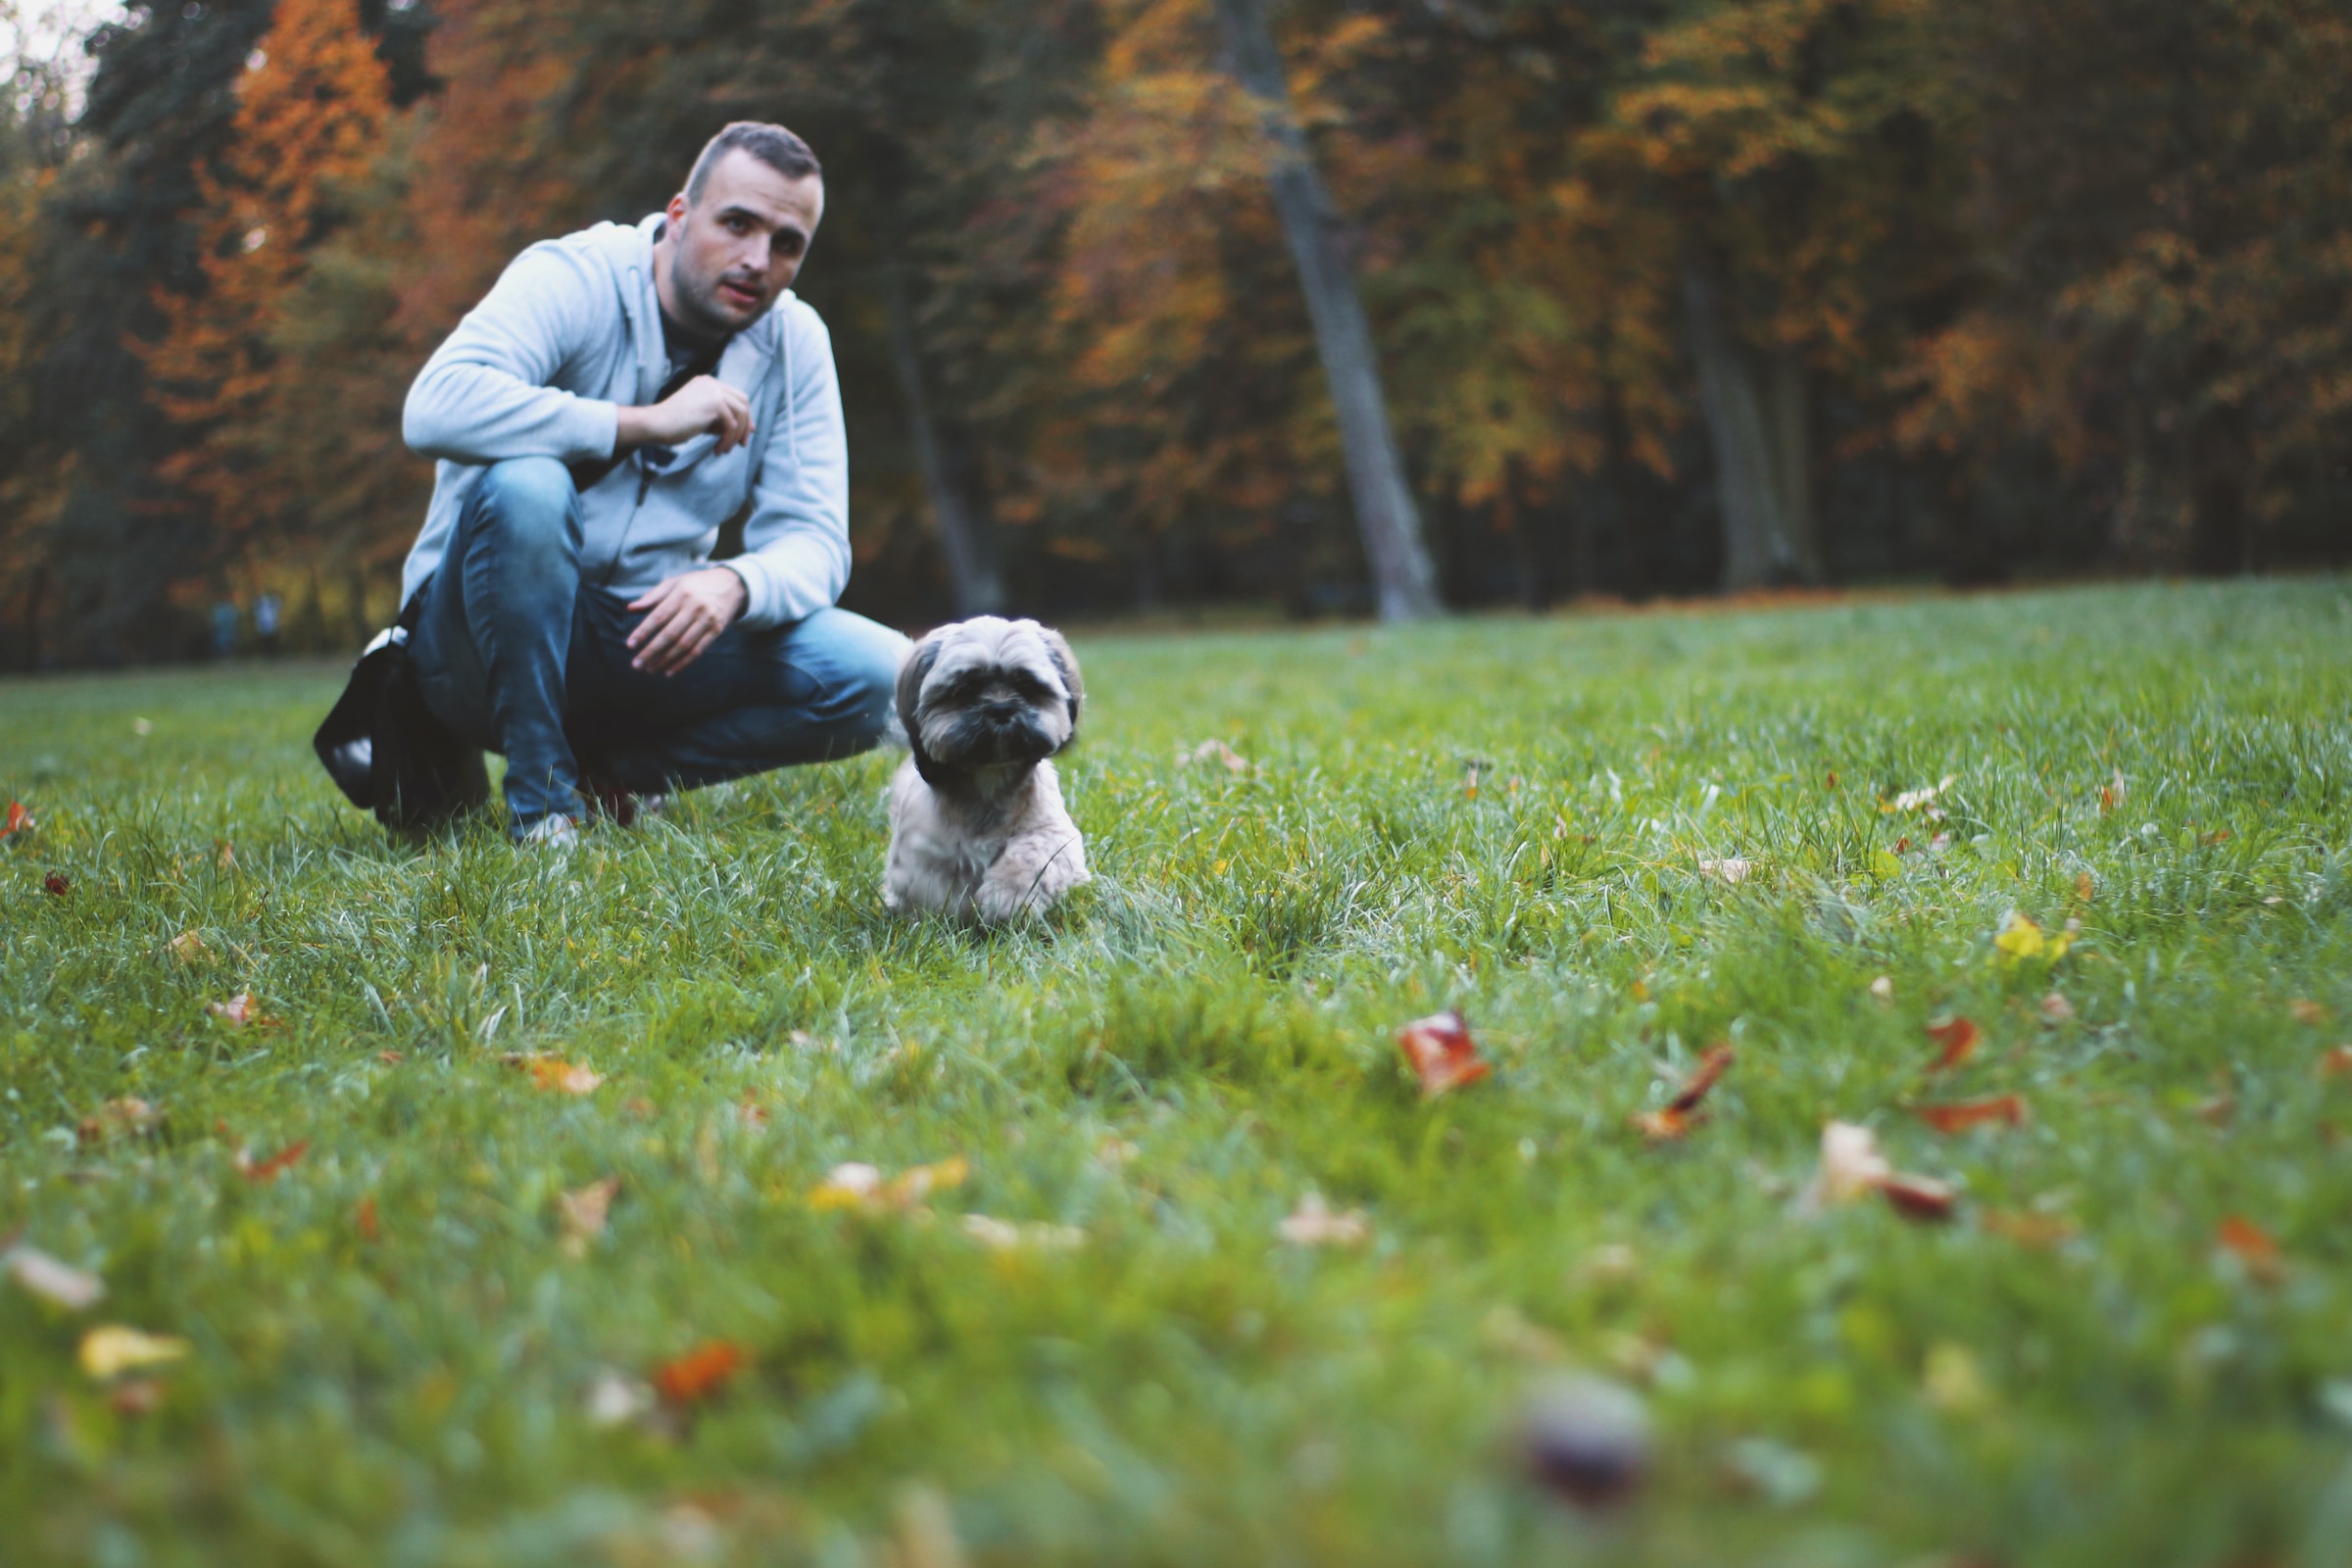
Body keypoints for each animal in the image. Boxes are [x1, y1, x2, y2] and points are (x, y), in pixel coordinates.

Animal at [884, 620, 1091, 926]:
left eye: (1026, 685)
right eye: (966, 688)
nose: (1001, 708)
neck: (990, 778)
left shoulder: (1054, 833)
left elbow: (1033, 857)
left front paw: (1006, 899)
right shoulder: (920, 851)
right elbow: (933, 888)